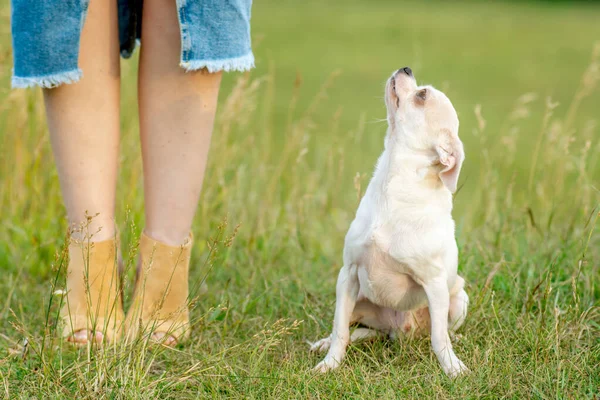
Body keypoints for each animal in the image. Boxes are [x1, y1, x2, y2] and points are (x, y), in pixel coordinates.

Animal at [312, 67, 472, 376]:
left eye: (422, 95)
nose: (405, 68)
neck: (393, 184)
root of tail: (399, 331)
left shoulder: (435, 284)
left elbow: (439, 338)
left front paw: (452, 368)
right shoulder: (348, 275)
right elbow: (340, 330)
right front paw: (329, 364)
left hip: (459, 298)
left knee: (442, 331)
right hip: (359, 303)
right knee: (355, 329)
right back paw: (323, 344)